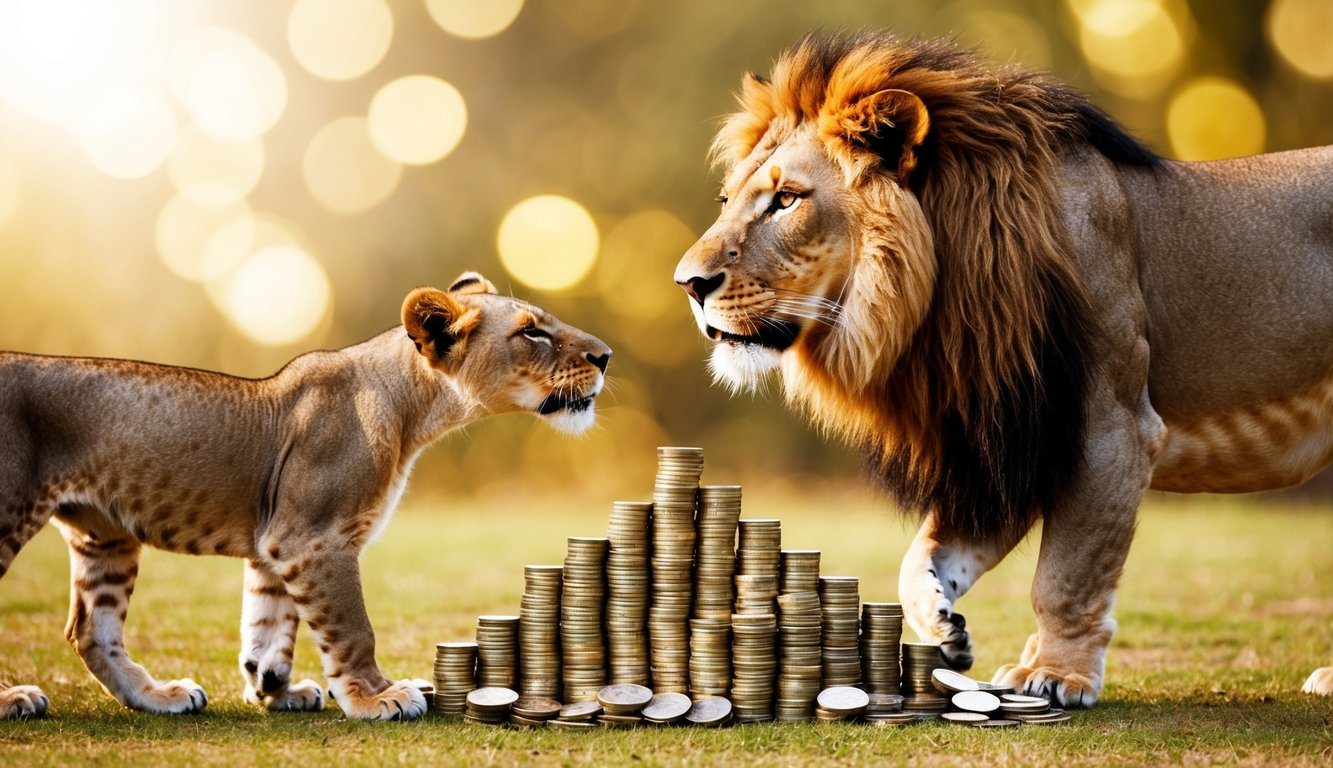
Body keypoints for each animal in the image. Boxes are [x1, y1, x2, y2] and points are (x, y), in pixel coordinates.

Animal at [0, 272, 611, 720]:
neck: (411, 412)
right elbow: (351, 628)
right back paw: (15, 700)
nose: (605, 356)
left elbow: (269, 626)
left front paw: (276, 690)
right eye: (532, 332)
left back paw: (158, 696)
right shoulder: (314, 538)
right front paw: (377, 696)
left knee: (89, 631)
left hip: (103, 535)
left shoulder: (275, 542)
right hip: (10, 512)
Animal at [675, 32, 1333, 706]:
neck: (937, 299)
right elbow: (924, 557)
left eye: (786, 200)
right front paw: (945, 628)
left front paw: (1056, 675)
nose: (689, 284)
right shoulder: (1003, 432)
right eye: (727, 200)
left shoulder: (1110, 429)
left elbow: (1065, 576)